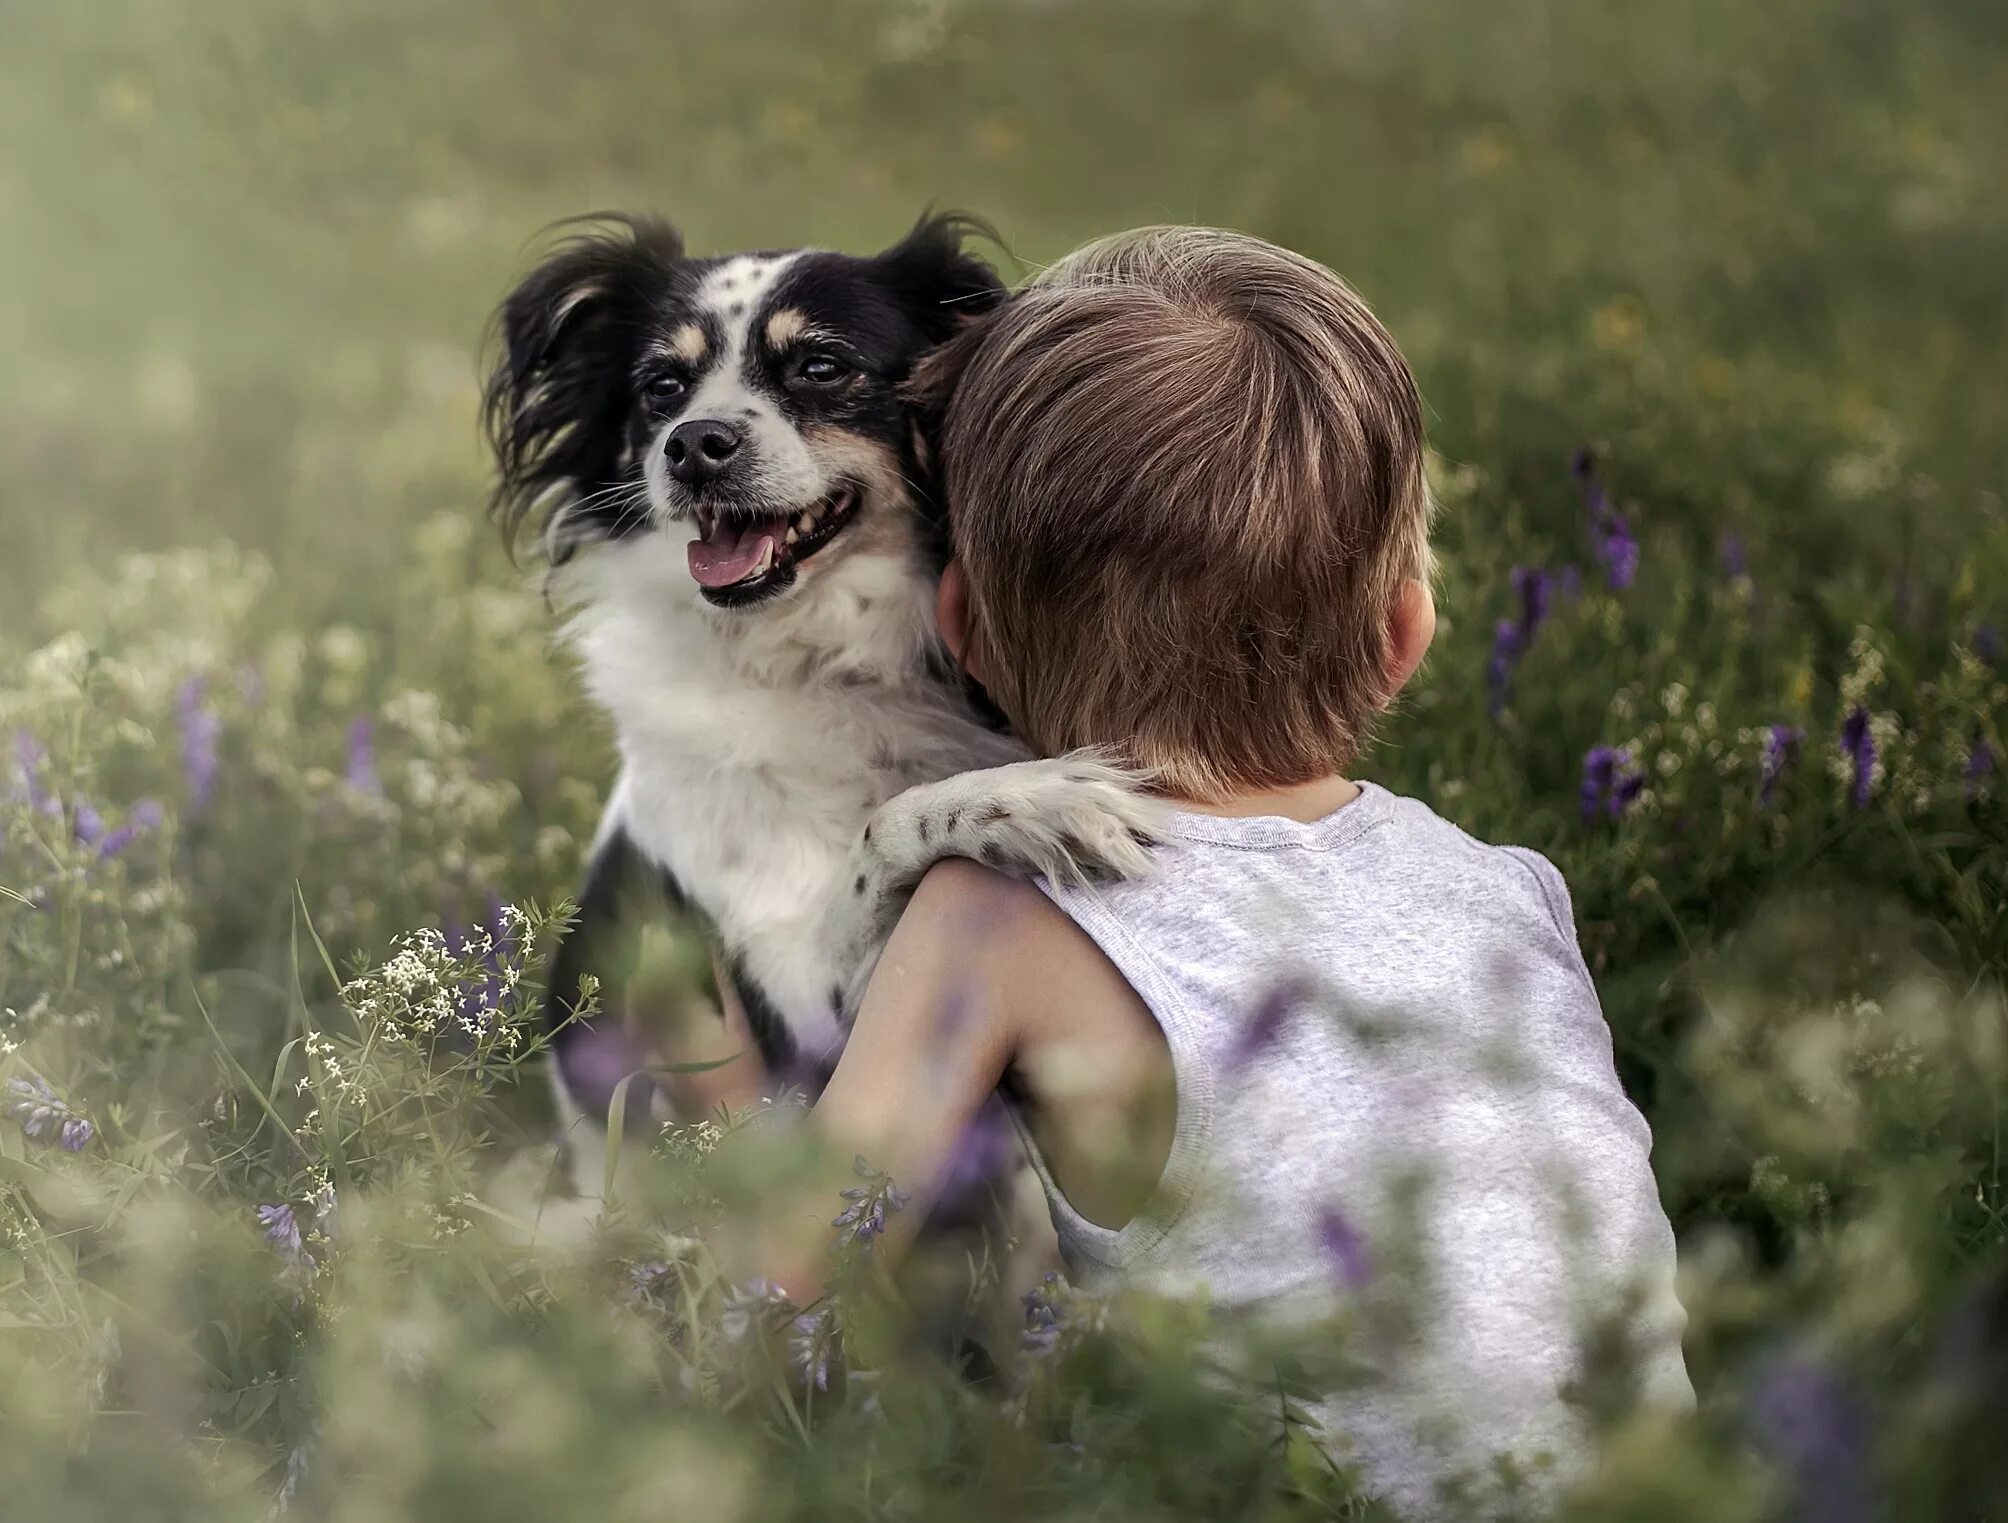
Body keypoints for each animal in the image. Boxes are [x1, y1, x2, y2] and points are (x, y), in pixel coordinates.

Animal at [483, 211, 1164, 1189]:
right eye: (661, 386)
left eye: (820, 365)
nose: (692, 443)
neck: (811, 655)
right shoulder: (807, 1029)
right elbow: (891, 831)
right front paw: (1036, 801)